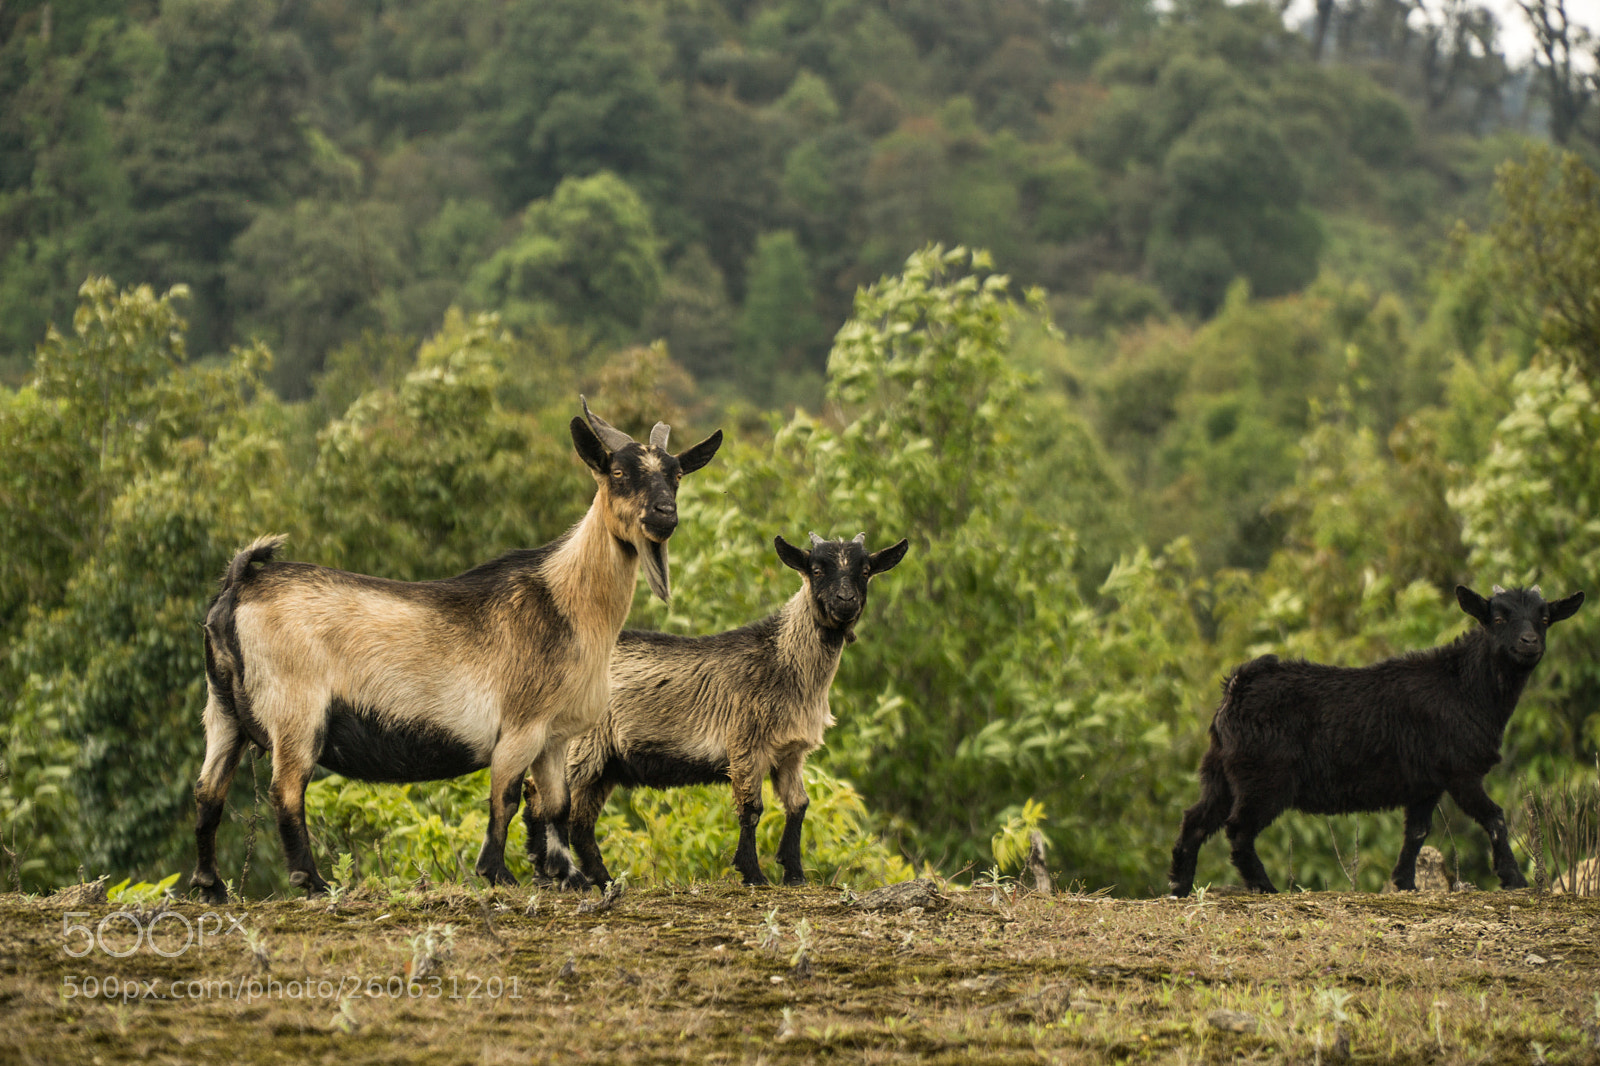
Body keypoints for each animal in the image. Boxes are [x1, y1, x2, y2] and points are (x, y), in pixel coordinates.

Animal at [190, 400, 722, 900]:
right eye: (617, 473)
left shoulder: (554, 736)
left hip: (221, 710)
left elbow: (556, 805)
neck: (564, 601)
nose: (664, 515)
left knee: (208, 790)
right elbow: (505, 798)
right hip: (295, 712)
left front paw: (565, 877)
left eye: (675, 475)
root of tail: (240, 583)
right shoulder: (521, 726)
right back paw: (312, 881)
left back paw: (211, 886)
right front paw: (497, 874)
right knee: (286, 789)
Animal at [524, 532, 908, 888]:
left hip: (604, 763)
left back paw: (598, 879)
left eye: (865, 570)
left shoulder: (790, 753)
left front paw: (795, 874)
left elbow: (798, 805)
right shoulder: (745, 743)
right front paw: (754, 875)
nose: (845, 602)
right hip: (580, 747)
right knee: (541, 799)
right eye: (816, 569)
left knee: (579, 820)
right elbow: (752, 809)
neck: (782, 661)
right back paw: (545, 874)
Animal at [1168, 584, 1583, 897]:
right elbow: (1495, 817)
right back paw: (1264, 887)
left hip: (1222, 773)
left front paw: (1405, 883)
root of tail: (1237, 685)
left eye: (1545, 618)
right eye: (1497, 618)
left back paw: (1179, 886)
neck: (1465, 686)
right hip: (1264, 777)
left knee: (1196, 820)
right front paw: (1514, 878)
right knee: (1238, 829)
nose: (1530, 642)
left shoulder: (1425, 783)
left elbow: (1416, 832)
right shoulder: (1460, 771)